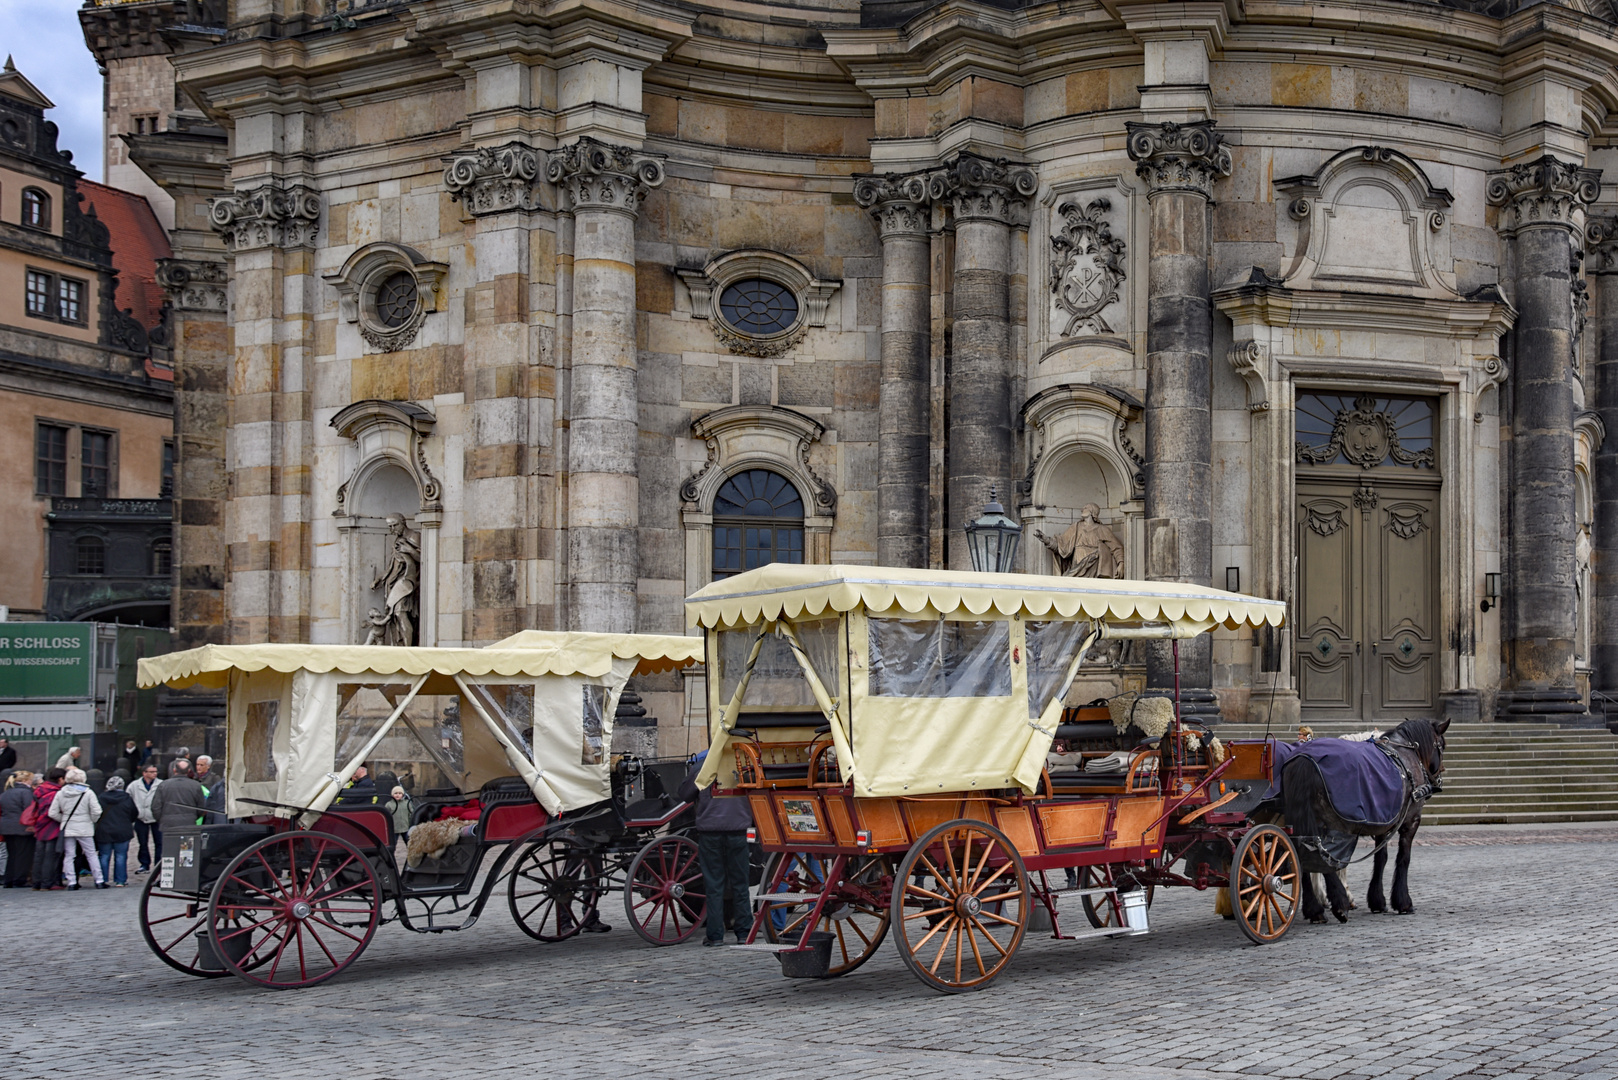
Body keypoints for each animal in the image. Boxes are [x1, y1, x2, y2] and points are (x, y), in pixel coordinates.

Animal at [1274, 722, 1456, 926]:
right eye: (1442, 745)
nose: (1439, 777)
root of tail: (1303, 759)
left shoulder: (1384, 822)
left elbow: (1381, 858)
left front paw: (1377, 900)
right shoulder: (1410, 821)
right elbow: (1403, 858)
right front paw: (1403, 902)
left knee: (1302, 855)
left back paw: (1315, 909)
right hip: (1332, 824)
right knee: (1321, 858)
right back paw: (1339, 903)